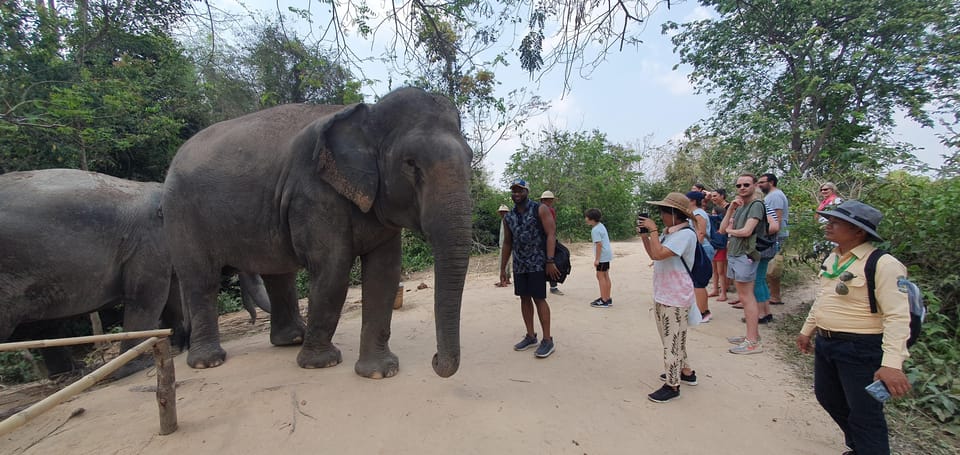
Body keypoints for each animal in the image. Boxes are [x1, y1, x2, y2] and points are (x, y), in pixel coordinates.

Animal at [0, 170, 270, 378]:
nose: (253, 321)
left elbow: (171, 297)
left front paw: (178, 345)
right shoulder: (147, 244)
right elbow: (148, 296)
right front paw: (138, 366)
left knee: (42, 327)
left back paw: (72, 372)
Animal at [162, 87, 476, 380]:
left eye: (470, 157)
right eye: (411, 163)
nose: (435, 360)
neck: (368, 115)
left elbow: (385, 273)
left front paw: (379, 372)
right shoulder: (313, 193)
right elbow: (333, 270)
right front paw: (320, 364)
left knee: (278, 274)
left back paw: (292, 339)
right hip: (181, 214)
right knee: (201, 279)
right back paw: (208, 362)